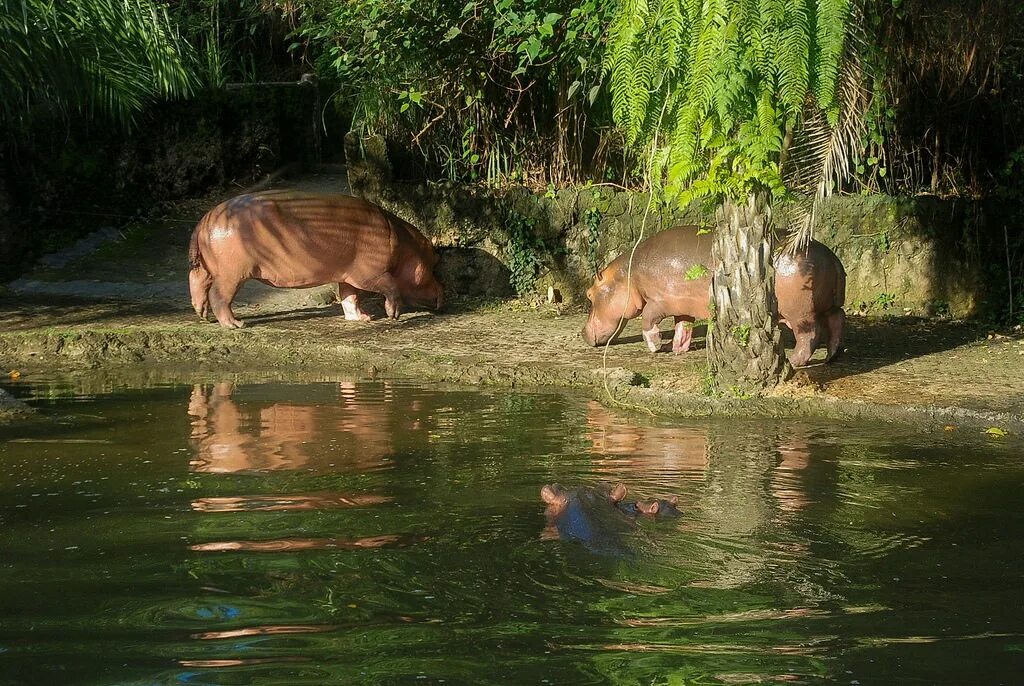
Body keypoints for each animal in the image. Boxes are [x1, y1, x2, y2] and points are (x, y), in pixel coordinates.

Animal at [189, 189, 444, 329]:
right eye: (434, 264)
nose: (444, 294)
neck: (406, 247)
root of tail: (205, 219)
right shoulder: (371, 274)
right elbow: (391, 287)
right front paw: (392, 315)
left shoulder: (348, 275)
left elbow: (349, 297)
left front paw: (362, 319)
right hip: (232, 275)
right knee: (219, 296)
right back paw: (236, 324)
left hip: (207, 268)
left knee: (197, 283)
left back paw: (202, 315)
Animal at [585, 228, 847, 368]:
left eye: (589, 294)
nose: (582, 333)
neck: (628, 275)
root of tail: (832, 257)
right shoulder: (682, 304)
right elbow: (683, 327)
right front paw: (676, 349)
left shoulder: (658, 301)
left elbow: (648, 320)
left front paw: (655, 347)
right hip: (830, 305)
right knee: (836, 322)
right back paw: (831, 358)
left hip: (801, 313)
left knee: (809, 335)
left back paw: (794, 361)